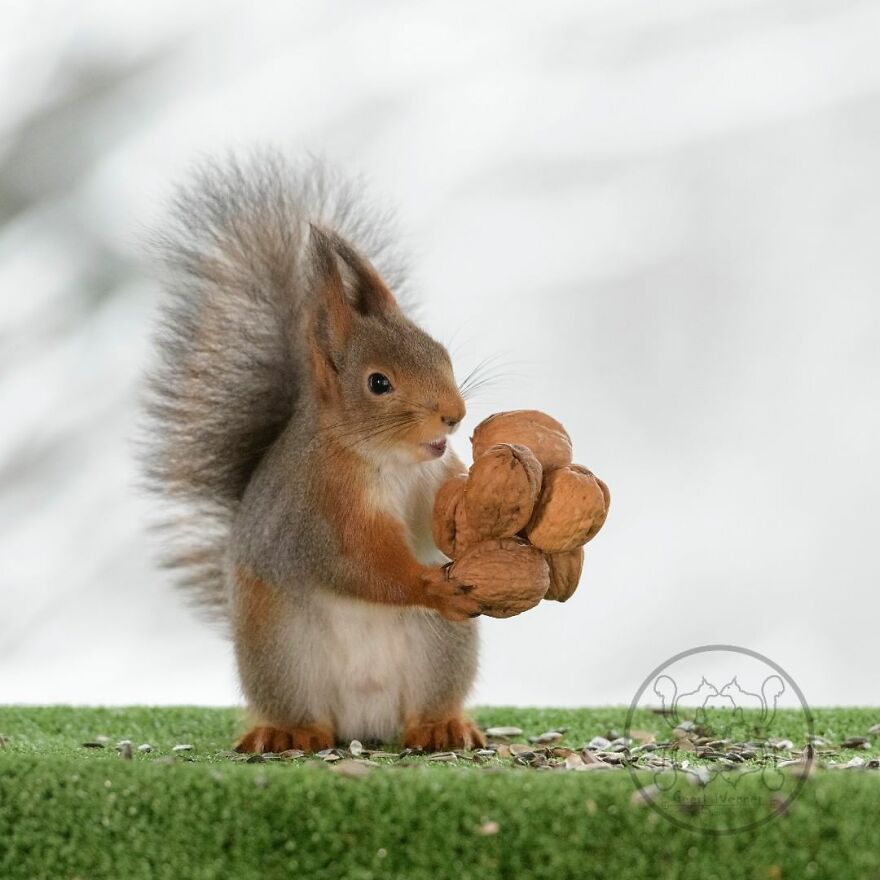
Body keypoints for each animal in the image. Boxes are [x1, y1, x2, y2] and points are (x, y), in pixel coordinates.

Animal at [144, 153, 487, 753]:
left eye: (440, 351)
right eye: (378, 383)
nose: (453, 414)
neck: (391, 462)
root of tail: (364, 721)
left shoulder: (433, 478)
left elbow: (439, 518)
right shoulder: (323, 512)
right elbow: (364, 565)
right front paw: (425, 583)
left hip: (441, 648)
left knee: (422, 708)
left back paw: (440, 725)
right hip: (281, 650)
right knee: (306, 714)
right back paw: (289, 733)